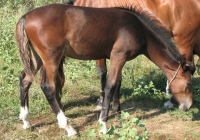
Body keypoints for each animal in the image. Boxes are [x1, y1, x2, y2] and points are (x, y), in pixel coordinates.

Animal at [15, 3, 192, 137]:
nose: (188, 106)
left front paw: (119, 116)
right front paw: (104, 124)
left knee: (25, 79)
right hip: (51, 58)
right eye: (188, 84)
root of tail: (26, 17)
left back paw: (26, 121)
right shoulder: (118, 56)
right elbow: (110, 86)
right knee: (48, 87)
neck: (138, 29)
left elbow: (118, 84)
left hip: (37, 58)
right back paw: (68, 128)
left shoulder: (118, 59)